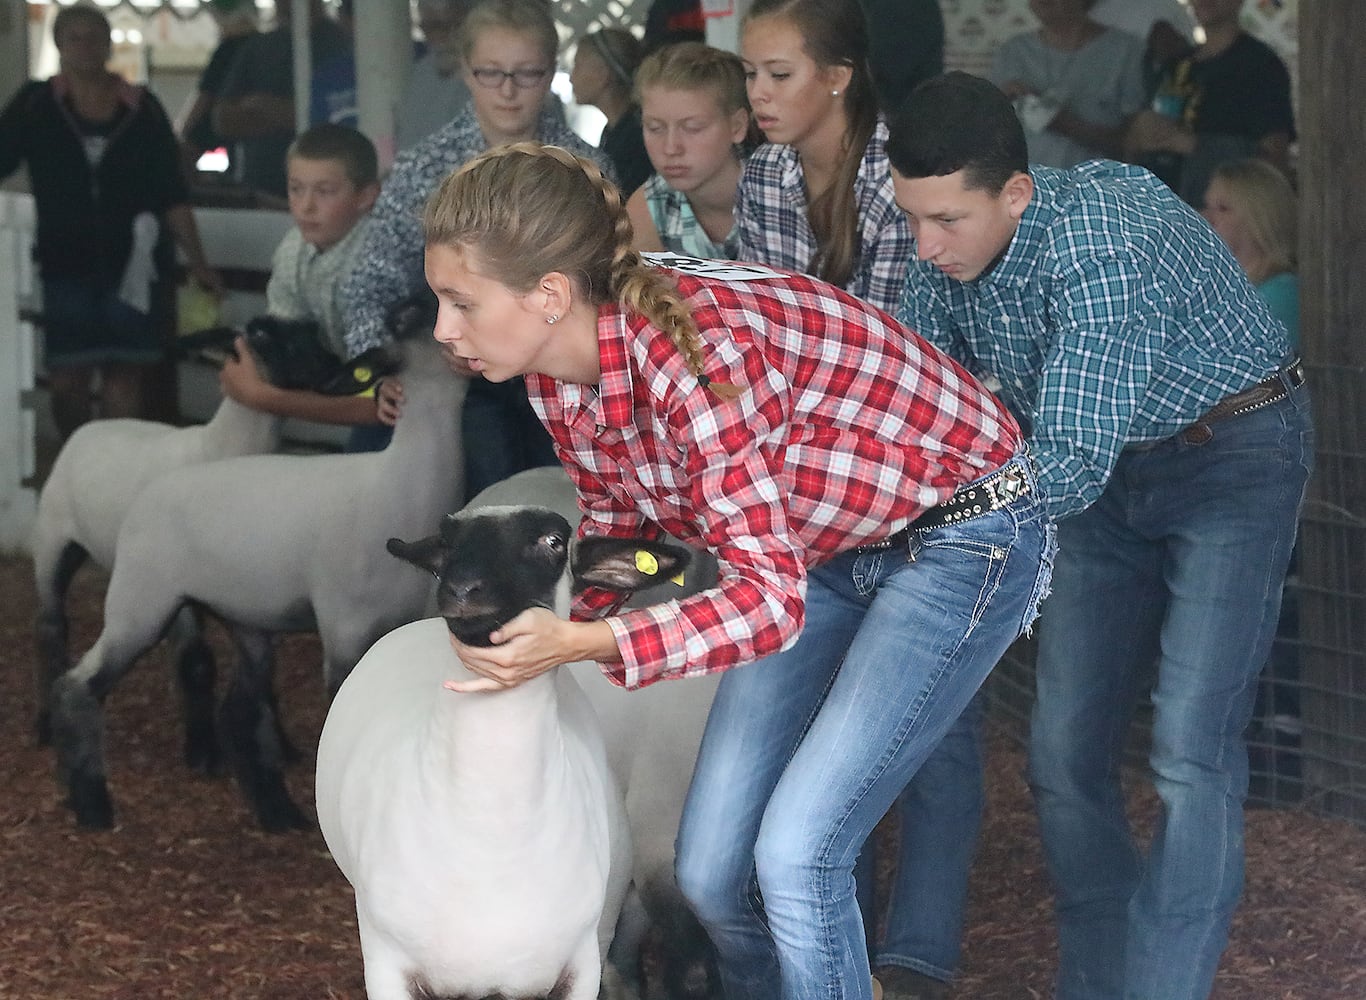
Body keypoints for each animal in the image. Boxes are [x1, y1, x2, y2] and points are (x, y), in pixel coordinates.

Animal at [312, 508, 688, 1000]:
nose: (461, 589)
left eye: (552, 541)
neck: (489, 839)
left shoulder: (580, 970)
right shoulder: (386, 965)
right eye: (447, 541)